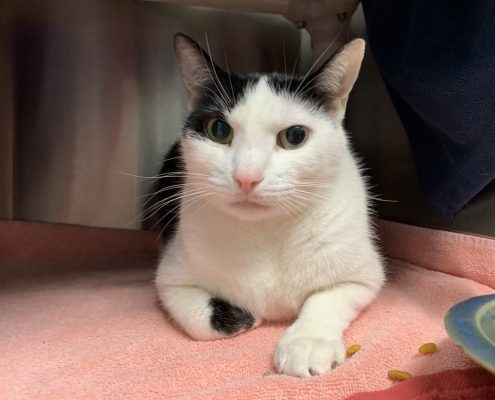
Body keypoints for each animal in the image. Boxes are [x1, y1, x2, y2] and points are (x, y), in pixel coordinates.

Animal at [153, 32, 386, 378]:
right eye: (218, 130)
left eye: (295, 135)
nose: (247, 177)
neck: (267, 231)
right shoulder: (170, 279)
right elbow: (198, 319)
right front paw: (245, 316)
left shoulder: (363, 277)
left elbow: (326, 299)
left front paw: (308, 342)